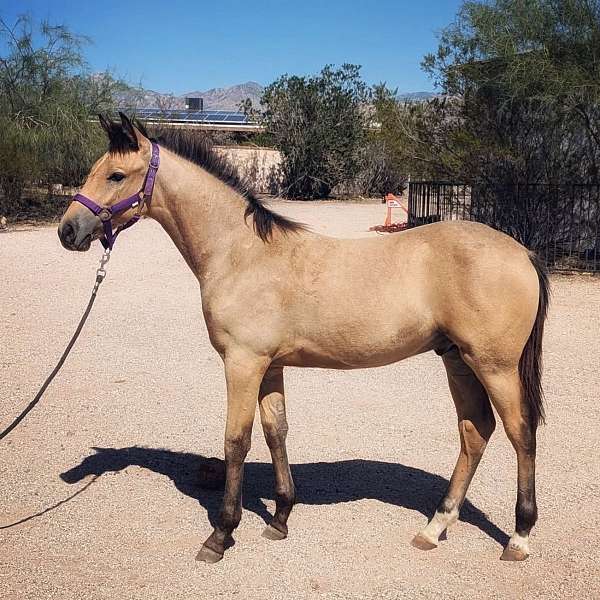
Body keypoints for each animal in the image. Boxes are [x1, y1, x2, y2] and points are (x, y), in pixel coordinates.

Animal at [59, 111, 548, 564]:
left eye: (116, 175)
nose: (68, 230)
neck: (241, 254)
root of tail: (522, 251)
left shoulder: (242, 362)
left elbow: (236, 440)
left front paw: (222, 534)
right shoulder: (270, 364)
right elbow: (276, 431)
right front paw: (279, 518)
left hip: (494, 366)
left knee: (520, 433)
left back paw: (519, 538)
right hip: (457, 360)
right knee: (475, 431)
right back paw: (434, 527)